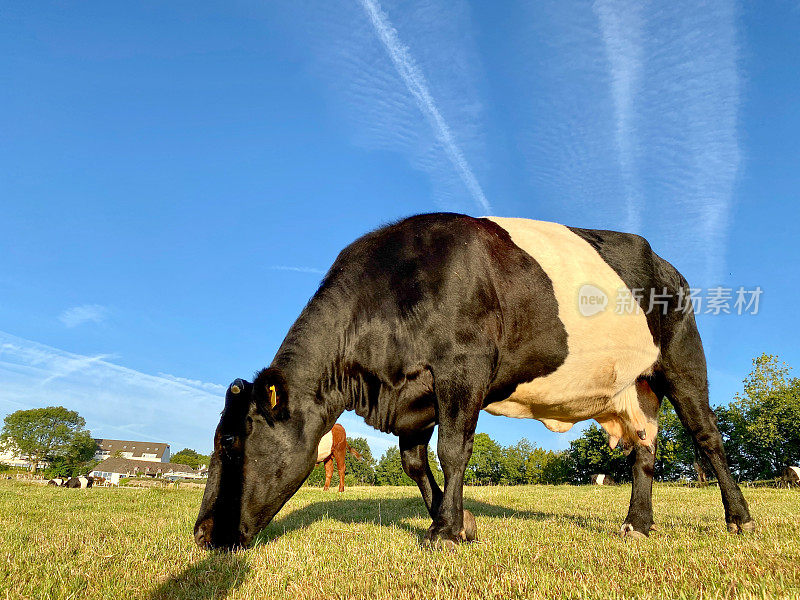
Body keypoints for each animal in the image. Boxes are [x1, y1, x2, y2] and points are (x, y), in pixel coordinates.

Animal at [195, 214, 756, 548]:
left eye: (230, 442)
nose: (201, 534)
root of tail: (665, 265)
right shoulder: (415, 395)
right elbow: (415, 463)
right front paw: (455, 521)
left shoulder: (463, 368)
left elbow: (453, 449)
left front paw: (444, 532)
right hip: (634, 390)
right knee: (644, 449)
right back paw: (637, 525)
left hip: (680, 361)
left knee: (707, 435)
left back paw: (739, 518)